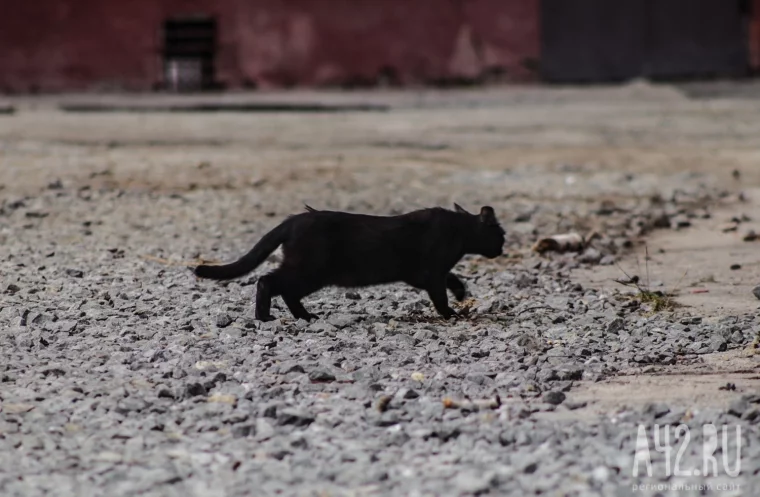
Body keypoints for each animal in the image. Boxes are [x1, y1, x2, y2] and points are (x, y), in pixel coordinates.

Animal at [194, 202, 504, 322]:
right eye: (501, 234)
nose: (502, 248)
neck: (460, 232)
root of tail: (293, 220)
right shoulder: (431, 272)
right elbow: (440, 293)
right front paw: (451, 313)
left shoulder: (423, 274)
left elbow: (451, 278)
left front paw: (461, 294)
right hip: (310, 269)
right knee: (268, 281)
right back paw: (265, 317)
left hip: (312, 273)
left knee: (287, 291)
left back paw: (306, 316)